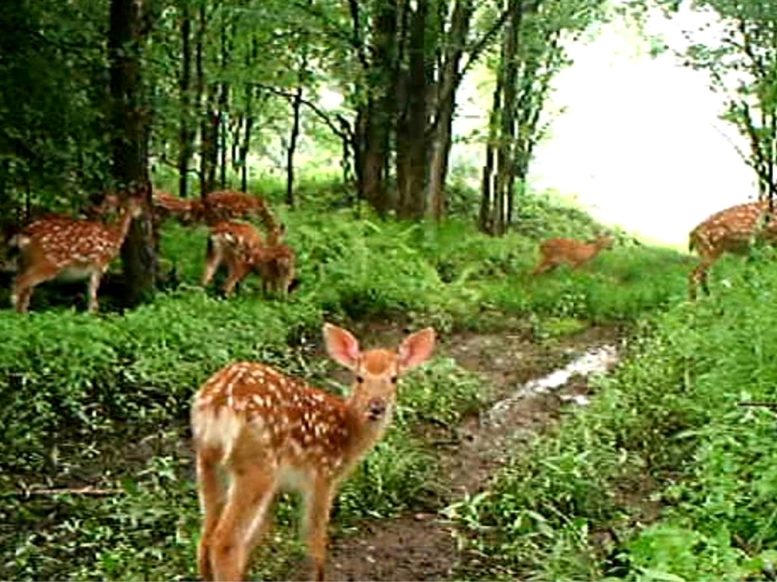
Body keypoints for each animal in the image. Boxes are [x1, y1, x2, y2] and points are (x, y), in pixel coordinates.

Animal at [10, 195, 144, 314]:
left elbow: (90, 294)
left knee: (23, 288)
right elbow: (93, 295)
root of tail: (24, 235)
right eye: (135, 201)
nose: (141, 212)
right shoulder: (99, 265)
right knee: (19, 283)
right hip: (47, 262)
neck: (115, 237)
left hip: (24, 262)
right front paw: (93, 315)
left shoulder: (90, 271)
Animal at [190, 324, 434, 582]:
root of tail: (218, 402)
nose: (377, 407)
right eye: (359, 377)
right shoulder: (323, 474)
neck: (348, 434)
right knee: (224, 541)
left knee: (206, 535)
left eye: (394, 378)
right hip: (257, 463)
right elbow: (316, 539)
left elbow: (261, 532)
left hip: (208, 458)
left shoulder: (280, 487)